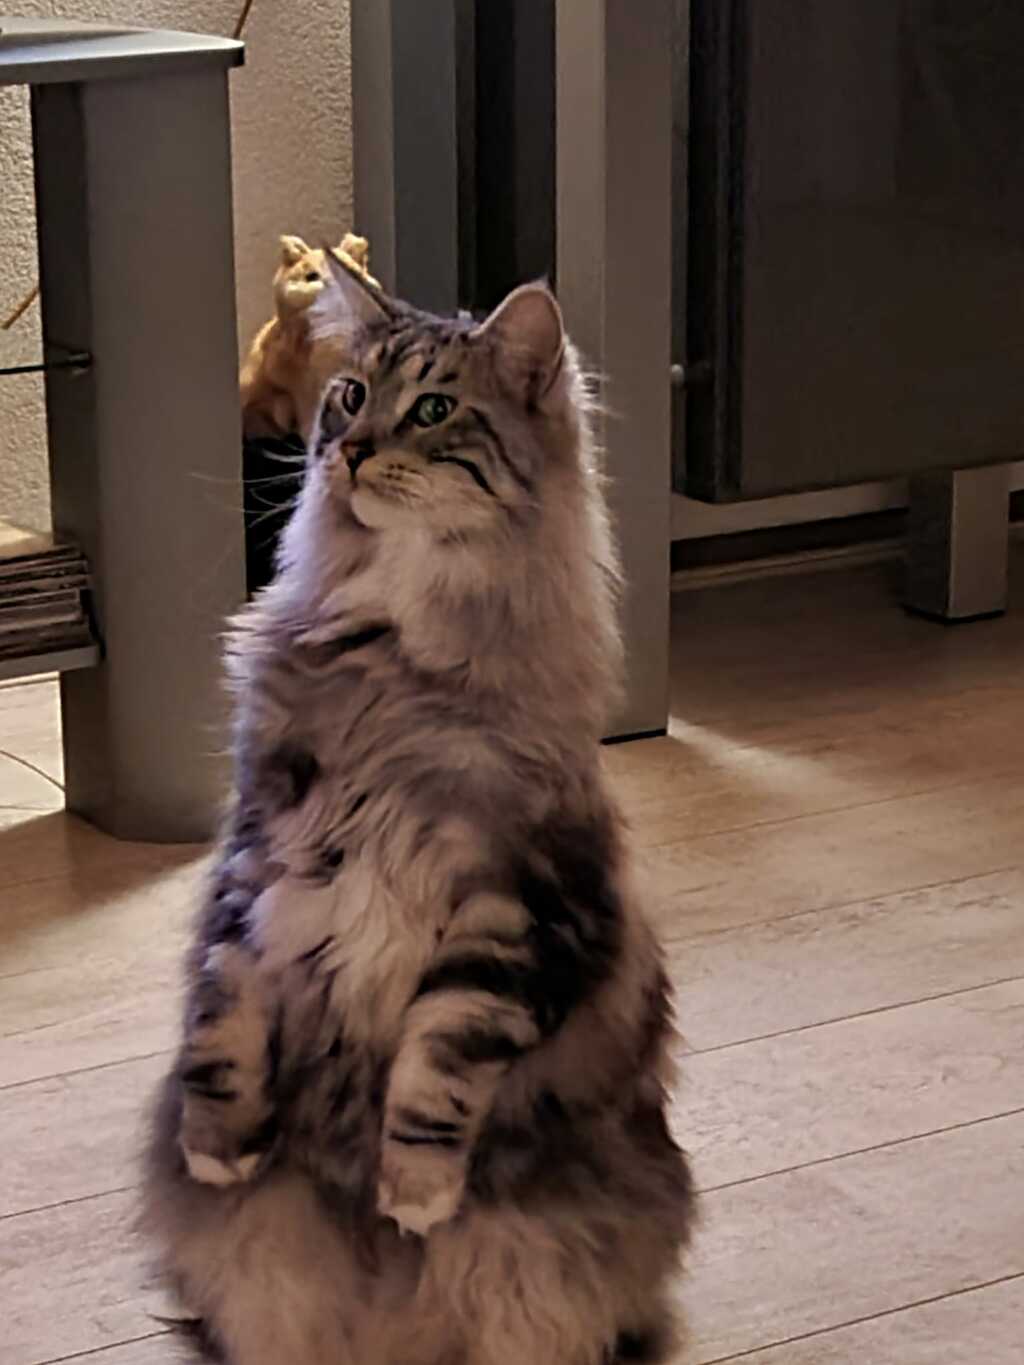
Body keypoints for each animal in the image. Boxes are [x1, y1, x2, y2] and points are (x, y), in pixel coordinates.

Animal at [142, 253, 695, 1365]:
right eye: (351, 395)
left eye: (435, 409)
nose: (351, 450)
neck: (391, 654)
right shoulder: (256, 856)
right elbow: (221, 1014)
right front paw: (217, 1150)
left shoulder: (506, 908)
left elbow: (440, 1062)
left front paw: (415, 1194)